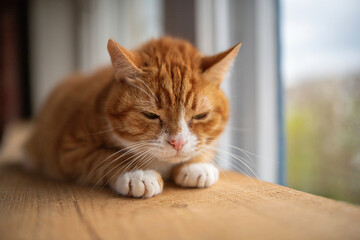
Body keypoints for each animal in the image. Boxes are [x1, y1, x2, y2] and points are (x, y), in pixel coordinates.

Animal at [23, 36, 240, 198]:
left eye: (200, 116)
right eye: (150, 115)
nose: (177, 142)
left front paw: (197, 165)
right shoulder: (71, 149)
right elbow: (107, 156)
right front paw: (137, 173)